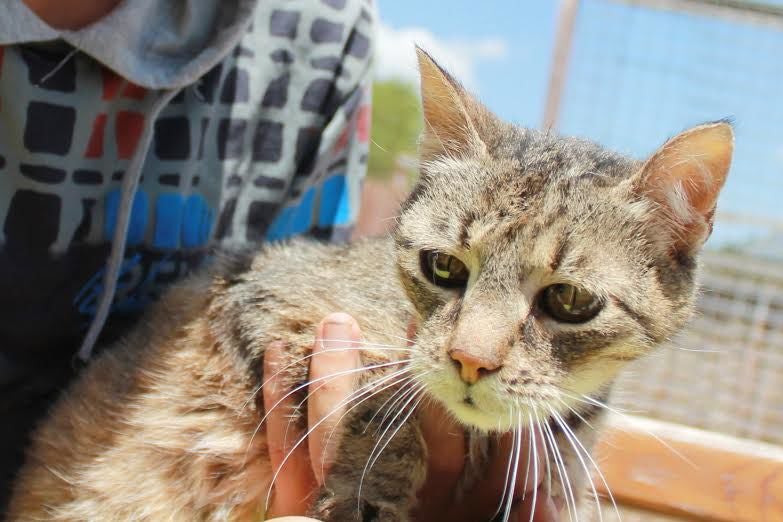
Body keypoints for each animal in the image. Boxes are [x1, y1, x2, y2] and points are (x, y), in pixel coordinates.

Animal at [8, 48, 733, 521]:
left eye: (570, 301)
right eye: (444, 268)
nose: (470, 360)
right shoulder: (266, 295)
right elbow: (387, 390)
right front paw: (374, 478)